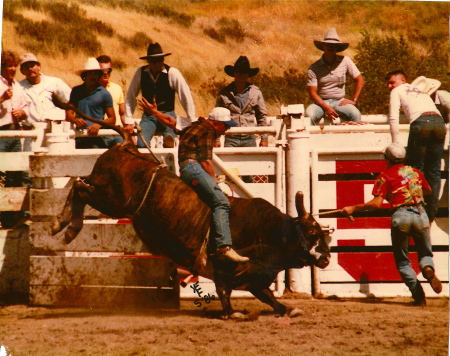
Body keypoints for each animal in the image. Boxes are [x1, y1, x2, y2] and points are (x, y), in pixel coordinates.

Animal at [51, 97, 330, 320]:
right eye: (312, 233)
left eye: (324, 233)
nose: (326, 258)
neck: (270, 230)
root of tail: (127, 145)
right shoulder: (224, 265)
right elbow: (224, 289)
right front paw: (232, 313)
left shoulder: (256, 275)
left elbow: (268, 296)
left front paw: (289, 309)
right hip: (113, 200)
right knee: (79, 188)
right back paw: (65, 226)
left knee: (79, 185)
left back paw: (63, 226)